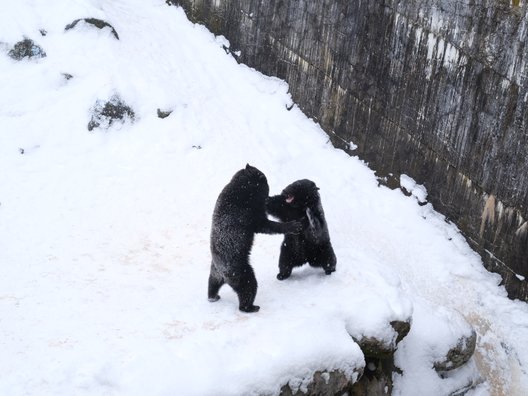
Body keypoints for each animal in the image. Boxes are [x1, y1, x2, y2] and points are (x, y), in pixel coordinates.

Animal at [208, 164, 304, 312]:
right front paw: (293, 226)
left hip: (215, 272)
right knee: (248, 286)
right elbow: (266, 225)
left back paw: (213, 296)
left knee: (212, 282)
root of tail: (223, 273)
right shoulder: (249, 213)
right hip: (240, 271)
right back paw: (250, 307)